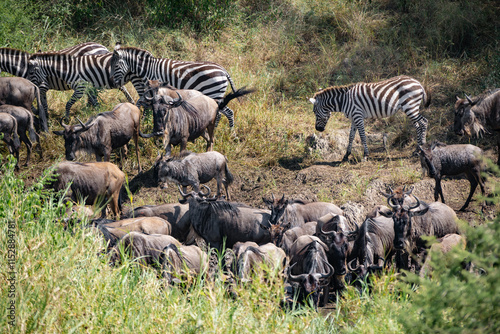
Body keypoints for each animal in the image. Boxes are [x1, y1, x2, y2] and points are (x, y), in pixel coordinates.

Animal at [112, 43, 240, 129]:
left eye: (116, 66)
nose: (114, 83)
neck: (148, 69)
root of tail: (223, 70)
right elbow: (141, 102)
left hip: (213, 93)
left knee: (221, 113)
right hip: (216, 93)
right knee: (227, 112)